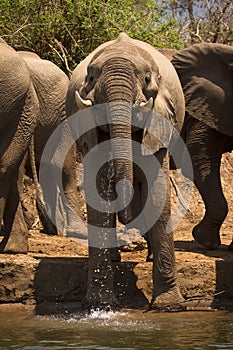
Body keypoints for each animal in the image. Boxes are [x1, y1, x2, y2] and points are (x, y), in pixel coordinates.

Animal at [65, 32, 186, 310]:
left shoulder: (160, 120)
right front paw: (101, 306)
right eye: (90, 78)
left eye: (147, 79)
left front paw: (169, 307)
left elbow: (157, 195)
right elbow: (100, 195)